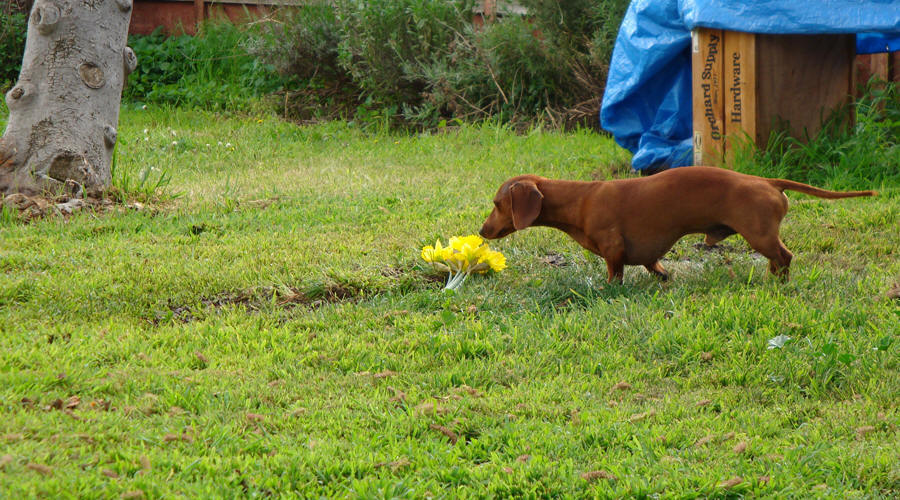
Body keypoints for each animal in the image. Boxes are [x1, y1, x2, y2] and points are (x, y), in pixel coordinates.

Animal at [479, 166, 875, 282]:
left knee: (785, 257)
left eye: (497, 204)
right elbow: (654, 265)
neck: (580, 199)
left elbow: (613, 274)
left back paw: (777, 283)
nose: (481, 231)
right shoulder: (646, 253)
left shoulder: (613, 248)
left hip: (760, 235)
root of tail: (765, 181)